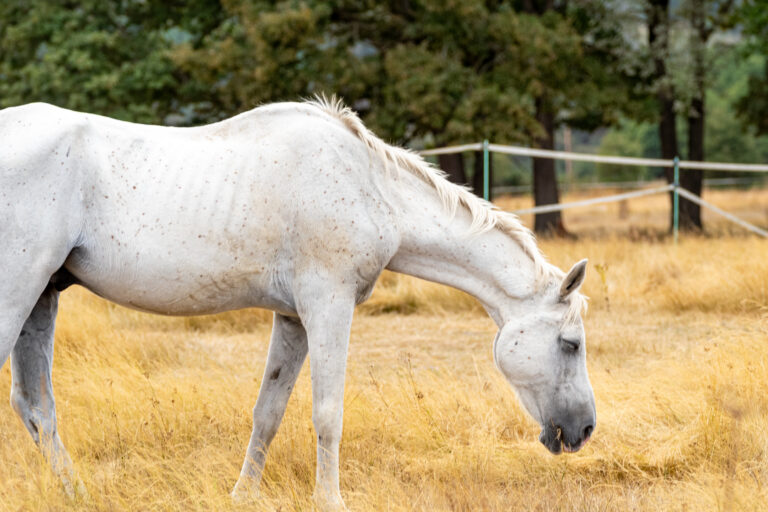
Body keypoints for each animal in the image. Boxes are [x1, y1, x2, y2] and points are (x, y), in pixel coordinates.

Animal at [0, 96, 594, 509]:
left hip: (41, 301)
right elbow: (327, 412)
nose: (584, 430)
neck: (370, 186)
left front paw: (242, 495)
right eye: (570, 343)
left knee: (37, 409)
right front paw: (330, 499)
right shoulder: (328, 307)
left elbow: (269, 411)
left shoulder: (292, 318)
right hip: (17, 296)